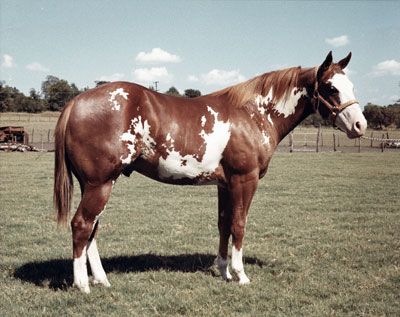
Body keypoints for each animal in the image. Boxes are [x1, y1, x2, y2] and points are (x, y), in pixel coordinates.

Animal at [54, 51, 368, 292]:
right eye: (331, 87)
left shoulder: (225, 185)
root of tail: (76, 102)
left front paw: (224, 271)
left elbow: (223, 225)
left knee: (92, 229)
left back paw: (102, 280)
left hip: (97, 184)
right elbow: (239, 225)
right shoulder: (245, 180)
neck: (254, 113)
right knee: (82, 225)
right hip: (100, 184)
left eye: (352, 85)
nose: (360, 126)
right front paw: (241, 275)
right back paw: (83, 285)